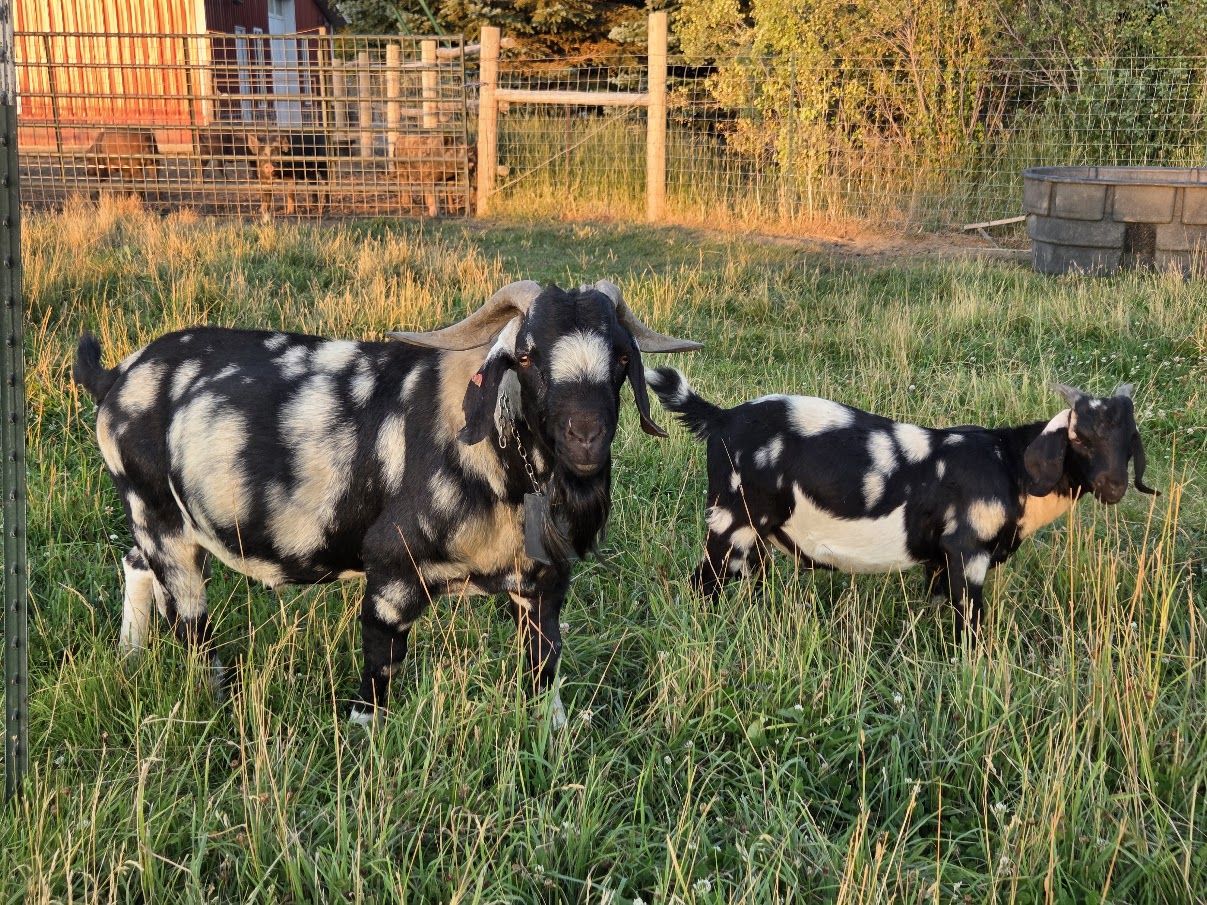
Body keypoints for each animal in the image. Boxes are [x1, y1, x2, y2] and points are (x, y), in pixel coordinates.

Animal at [73, 282, 700, 727]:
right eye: (526, 356)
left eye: (621, 359)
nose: (586, 438)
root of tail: (114, 377)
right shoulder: (392, 574)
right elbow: (374, 689)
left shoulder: (542, 585)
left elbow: (545, 678)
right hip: (159, 515)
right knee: (189, 621)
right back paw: (216, 699)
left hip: (159, 522)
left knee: (135, 564)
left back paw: (131, 657)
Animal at [647, 370, 1157, 638]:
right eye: (1080, 436)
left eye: (1129, 438)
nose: (1114, 486)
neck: (1008, 464)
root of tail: (721, 418)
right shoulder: (966, 549)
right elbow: (971, 624)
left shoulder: (939, 558)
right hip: (731, 518)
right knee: (704, 584)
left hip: (752, 534)